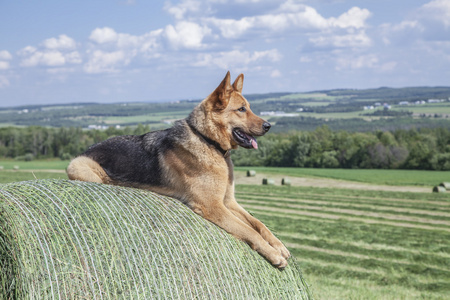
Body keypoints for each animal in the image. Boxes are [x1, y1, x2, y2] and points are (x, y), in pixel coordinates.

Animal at [67, 71, 292, 268]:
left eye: (249, 107)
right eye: (242, 109)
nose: (269, 126)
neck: (207, 140)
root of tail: (87, 149)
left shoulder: (228, 202)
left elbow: (258, 224)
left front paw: (279, 245)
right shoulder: (213, 206)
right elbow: (248, 230)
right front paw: (273, 254)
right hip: (83, 169)